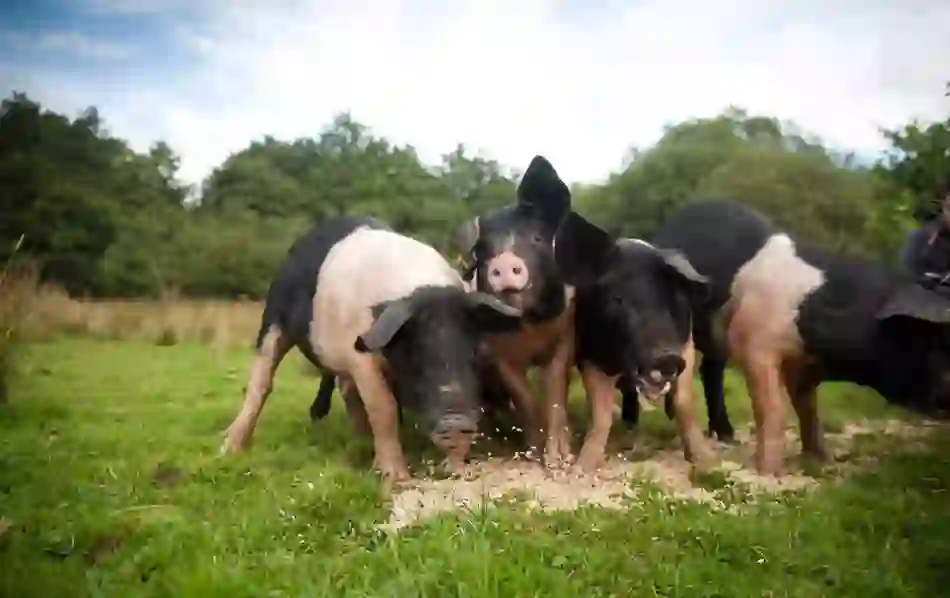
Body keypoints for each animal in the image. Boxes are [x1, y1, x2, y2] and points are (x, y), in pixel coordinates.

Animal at [220, 215, 523, 483]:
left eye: (475, 354)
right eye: (415, 353)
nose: (456, 422)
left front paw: (458, 471)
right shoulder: (361, 358)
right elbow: (383, 408)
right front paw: (396, 479)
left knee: (347, 392)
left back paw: (358, 441)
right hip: (274, 316)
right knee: (262, 379)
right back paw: (229, 449)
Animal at [452, 155, 577, 466]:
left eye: (537, 238)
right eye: (483, 251)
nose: (505, 261)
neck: (528, 325)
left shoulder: (565, 333)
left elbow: (555, 391)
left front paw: (558, 461)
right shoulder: (497, 351)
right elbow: (524, 397)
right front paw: (532, 453)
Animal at [563, 198, 950, 476]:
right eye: (929, 338)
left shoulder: (803, 366)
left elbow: (809, 410)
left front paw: (823, 463)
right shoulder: (756, 346)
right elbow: (773, 408)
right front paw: (770, 473)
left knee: (711, 371)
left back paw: (726, 436)